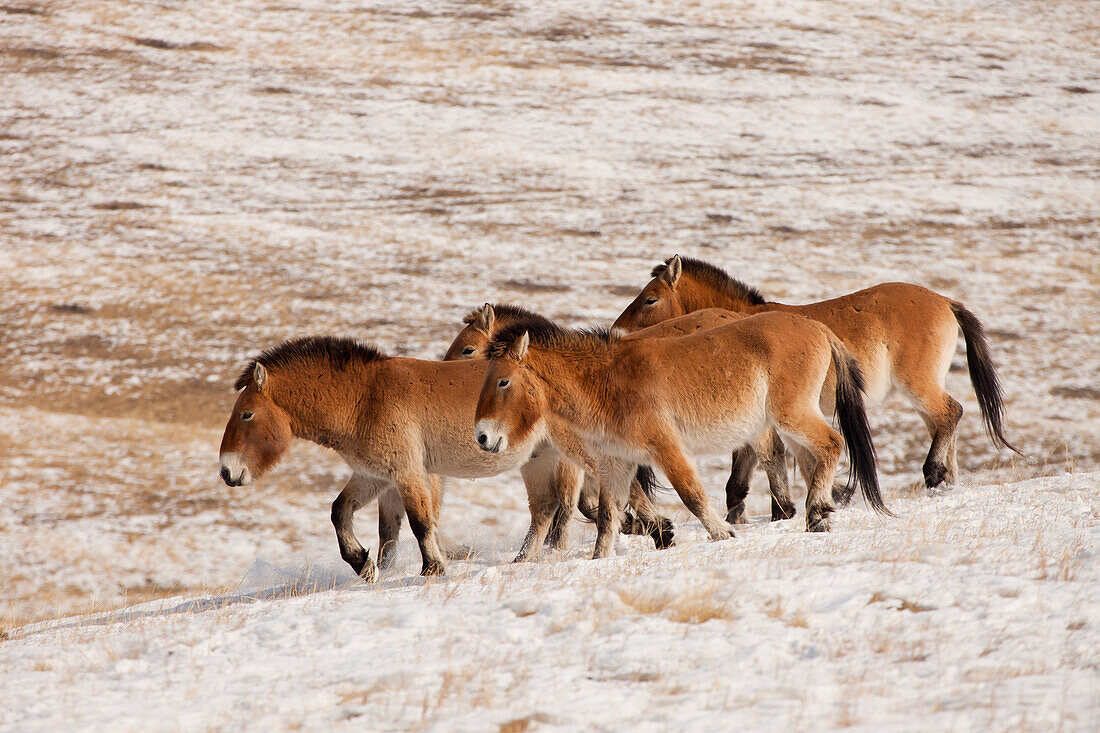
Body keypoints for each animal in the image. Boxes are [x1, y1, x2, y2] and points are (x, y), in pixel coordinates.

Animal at [212, 334, 576, 581]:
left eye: (246, 414)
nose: (227, 471)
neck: (365, 399)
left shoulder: (408, 473)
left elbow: (420, 522)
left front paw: (433, 569)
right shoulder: (374, 477)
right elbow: (348, 515)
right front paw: (364, 564)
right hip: (538, 459)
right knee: (544, 508)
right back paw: (524, 560)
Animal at [470, 310, 884, 556]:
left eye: (503, 380)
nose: (483, 438)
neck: (607, 381)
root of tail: (818, 327)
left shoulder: (665, 448)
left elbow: (691, 494)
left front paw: (723, 535)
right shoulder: (617, 464)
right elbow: (608, 516)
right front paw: (601, 559)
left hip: (792, 416)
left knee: (831, 444)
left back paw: (816, 511)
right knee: (816, 458)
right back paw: (819, 516)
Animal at [616, 256, 1016, 512]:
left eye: (650, 298)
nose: (618, 331)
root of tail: (944, 300)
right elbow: (741, 483)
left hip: (917, 386)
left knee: (951, 413)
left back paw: (933, 474)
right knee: (943, 424)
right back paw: (945, 483)